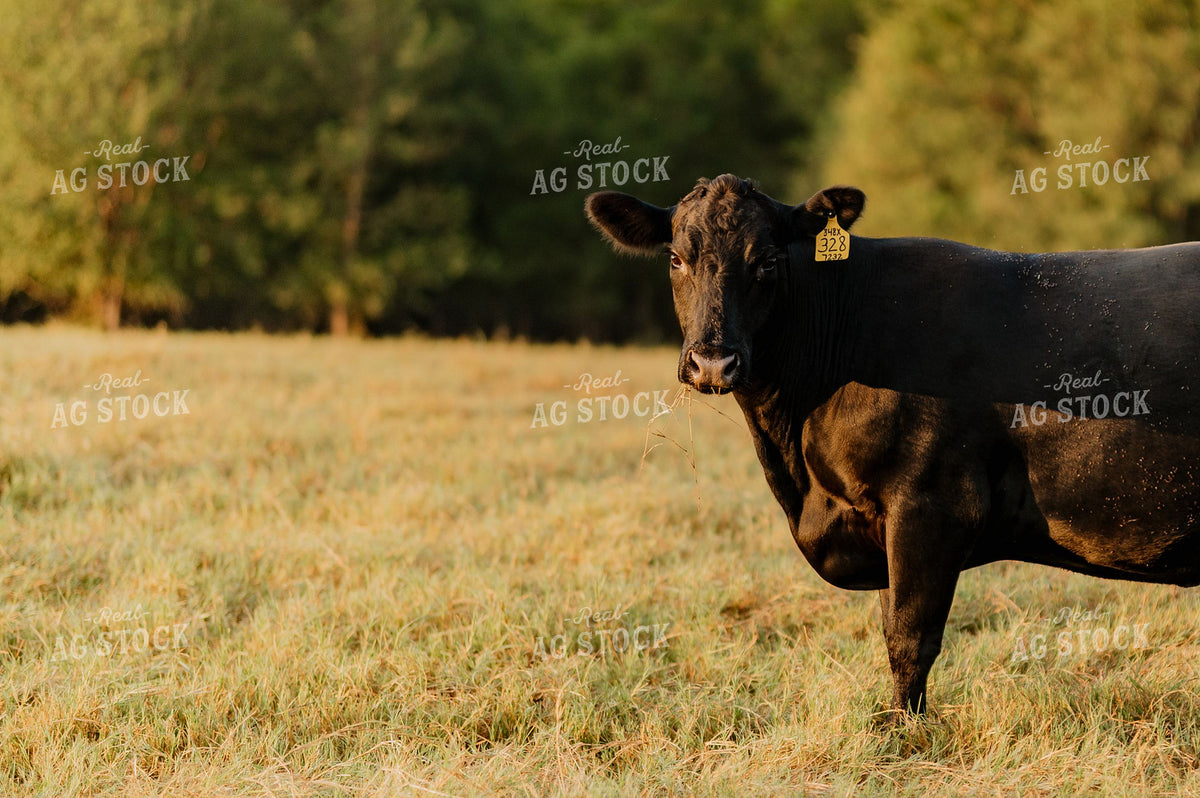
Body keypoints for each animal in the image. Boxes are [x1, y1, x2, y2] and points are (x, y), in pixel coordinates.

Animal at [585, 173, 1200, 715]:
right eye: (675, 259)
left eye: (767, 262)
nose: (713, 361)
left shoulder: (932, 503)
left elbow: (909, 638)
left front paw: (905, 733)